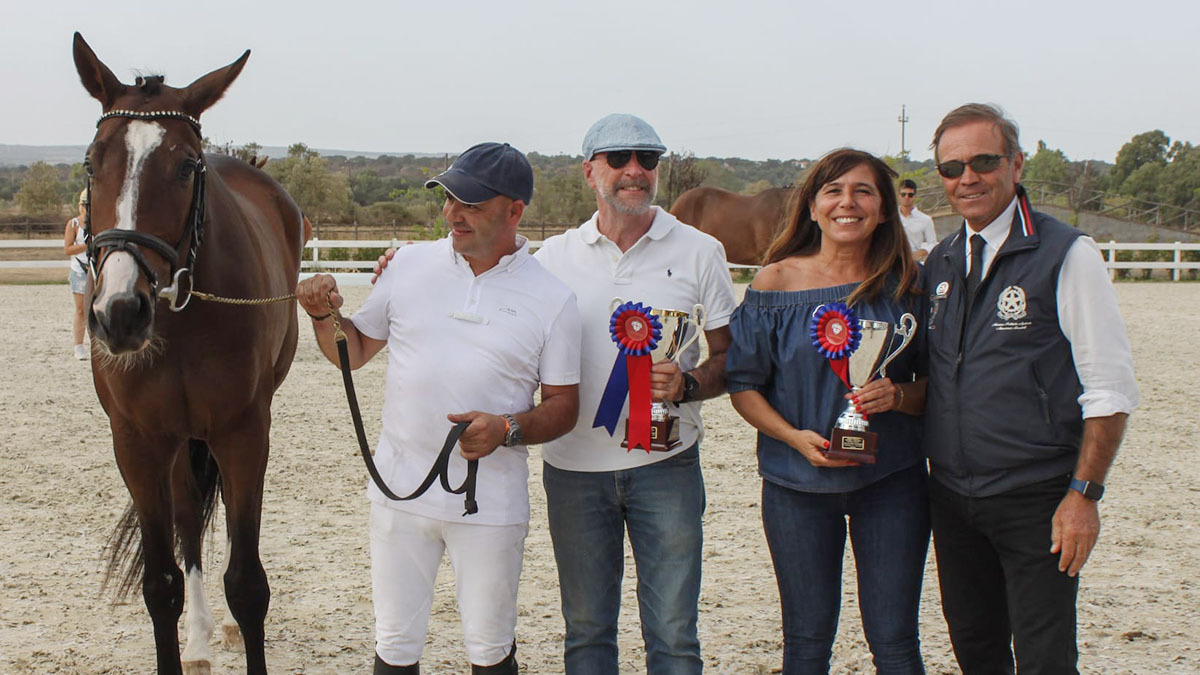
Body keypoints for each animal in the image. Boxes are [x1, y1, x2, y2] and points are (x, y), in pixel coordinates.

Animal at [73, 32, 302, 672]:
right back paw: (198, 639)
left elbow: (247, 585)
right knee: (187, 510)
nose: (120, 312)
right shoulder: (138, 442)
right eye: (93, 162)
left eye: (184, 167)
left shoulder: (244, 434)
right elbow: (161, 584)